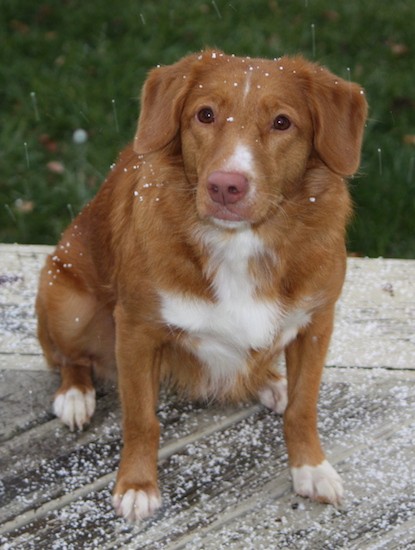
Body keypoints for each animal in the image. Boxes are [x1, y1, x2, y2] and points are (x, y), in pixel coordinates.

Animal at [35, 49, 368, 524]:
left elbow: (304, 408)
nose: (226, 185)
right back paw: (76, 394)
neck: (240, 243)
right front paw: (137, 485)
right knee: (67, 356)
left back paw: (271, 380)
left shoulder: (317, 322)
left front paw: (311, 468)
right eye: (205, 114)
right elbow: (141, 419)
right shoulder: (135, 329)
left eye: (282, 122)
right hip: (67, 297)